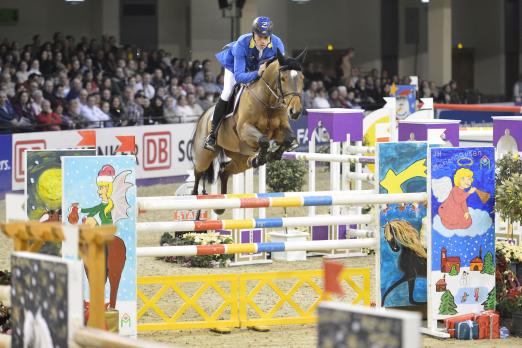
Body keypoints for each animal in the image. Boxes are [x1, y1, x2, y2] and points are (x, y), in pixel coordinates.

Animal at [191, 48, 304, 212]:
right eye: (283, 78)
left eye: (302, 78)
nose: (295, 112)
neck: (267, 102)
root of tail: (205, 115)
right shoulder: (245, 129)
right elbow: (263, 140)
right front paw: (261, 157)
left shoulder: (280, 129)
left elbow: (288, 139)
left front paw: (272, 155)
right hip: (204, 155)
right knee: (198, 172)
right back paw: (193, 199)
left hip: (240, 159)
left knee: (225, 172)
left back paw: (221, 205)